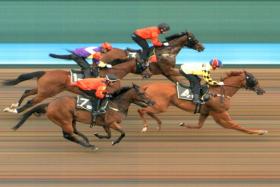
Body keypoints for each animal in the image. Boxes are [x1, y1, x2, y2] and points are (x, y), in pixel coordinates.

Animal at [2, 58, 151, 114]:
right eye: (143, 65)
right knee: (30, 102)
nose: (148, 74)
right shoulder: (105, 92)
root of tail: (45, 72)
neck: (111, 74)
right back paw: (15, 110)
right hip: (46, 93)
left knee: (27, 91)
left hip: (42, 90)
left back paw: (13, 106)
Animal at [12, 84, 153, 150]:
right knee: (68, 135)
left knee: (73, 132)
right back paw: (89, 145)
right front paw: (114, 142)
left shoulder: (106, 124)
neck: (117, 104)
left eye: (146, 92)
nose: (152, 102)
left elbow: (108, 135)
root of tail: (50, 104)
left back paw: (86, 140)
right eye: (142, 93)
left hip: (71, 120)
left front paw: (98, 135)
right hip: (65, 120)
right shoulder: (112, 123)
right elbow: (123, 133)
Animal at [138, 71, 270, 135]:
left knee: (148, 112)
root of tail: (148, 85)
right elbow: (235, 125)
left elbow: (199, 125)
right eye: (253, 79)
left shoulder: (205, 112)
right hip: (160, 106)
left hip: (157, 105)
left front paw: (183, 124)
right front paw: (259, 132)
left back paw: (159, 125)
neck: (220, 92)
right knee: (141, 110)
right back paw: (145, 127)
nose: (262, 91)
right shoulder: (220, 113)